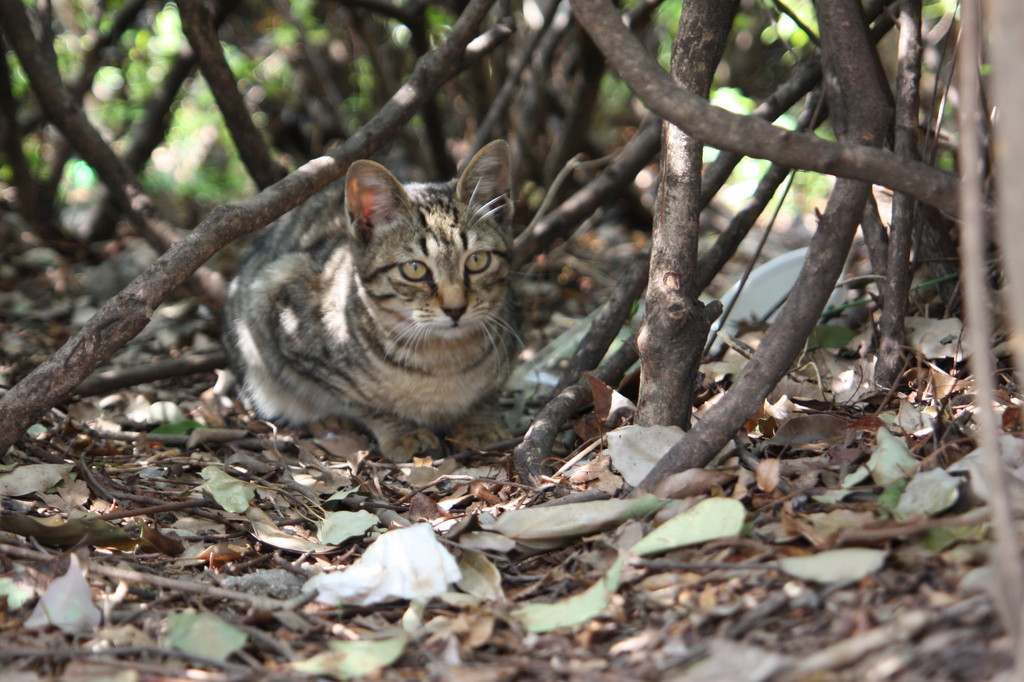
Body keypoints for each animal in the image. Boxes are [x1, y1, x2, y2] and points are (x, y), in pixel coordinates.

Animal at [225, 139, 524, 458]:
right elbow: (364, 403)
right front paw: (402, 432)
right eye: (414, 269)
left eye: (477, 260)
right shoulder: (276, 303)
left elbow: (486, 396)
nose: (455, 309)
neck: (442, 360)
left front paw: (479, 424)